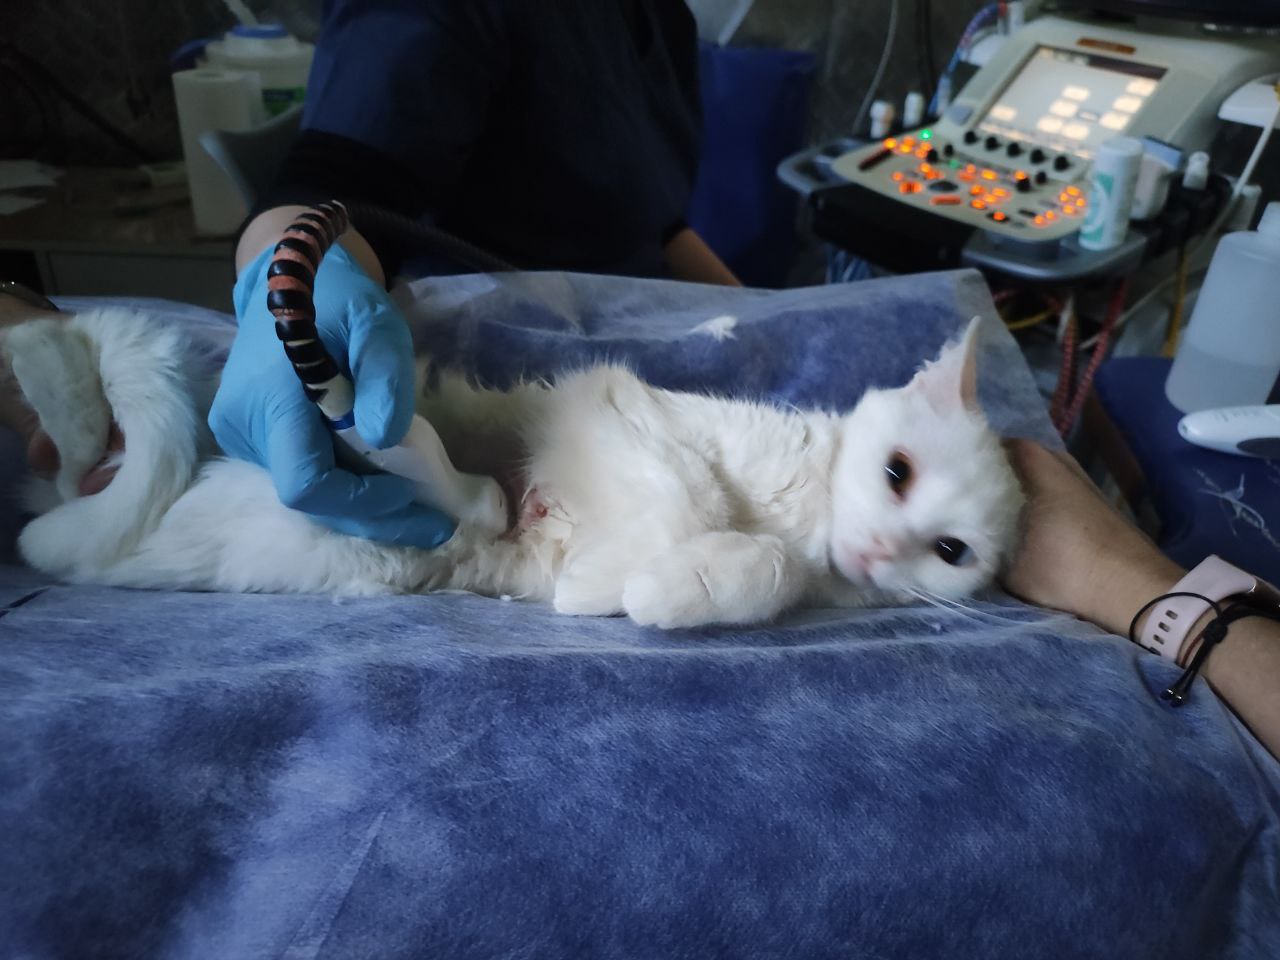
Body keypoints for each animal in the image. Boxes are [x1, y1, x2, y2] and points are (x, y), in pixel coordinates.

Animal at [2, 307, 1024, 629]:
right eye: (896, 472)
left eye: (950, 552)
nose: (883, 548)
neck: (800, 518)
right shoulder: (610, 404)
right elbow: (688, 494)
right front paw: (616, 581)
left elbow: (762, 572)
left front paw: (660, 585)